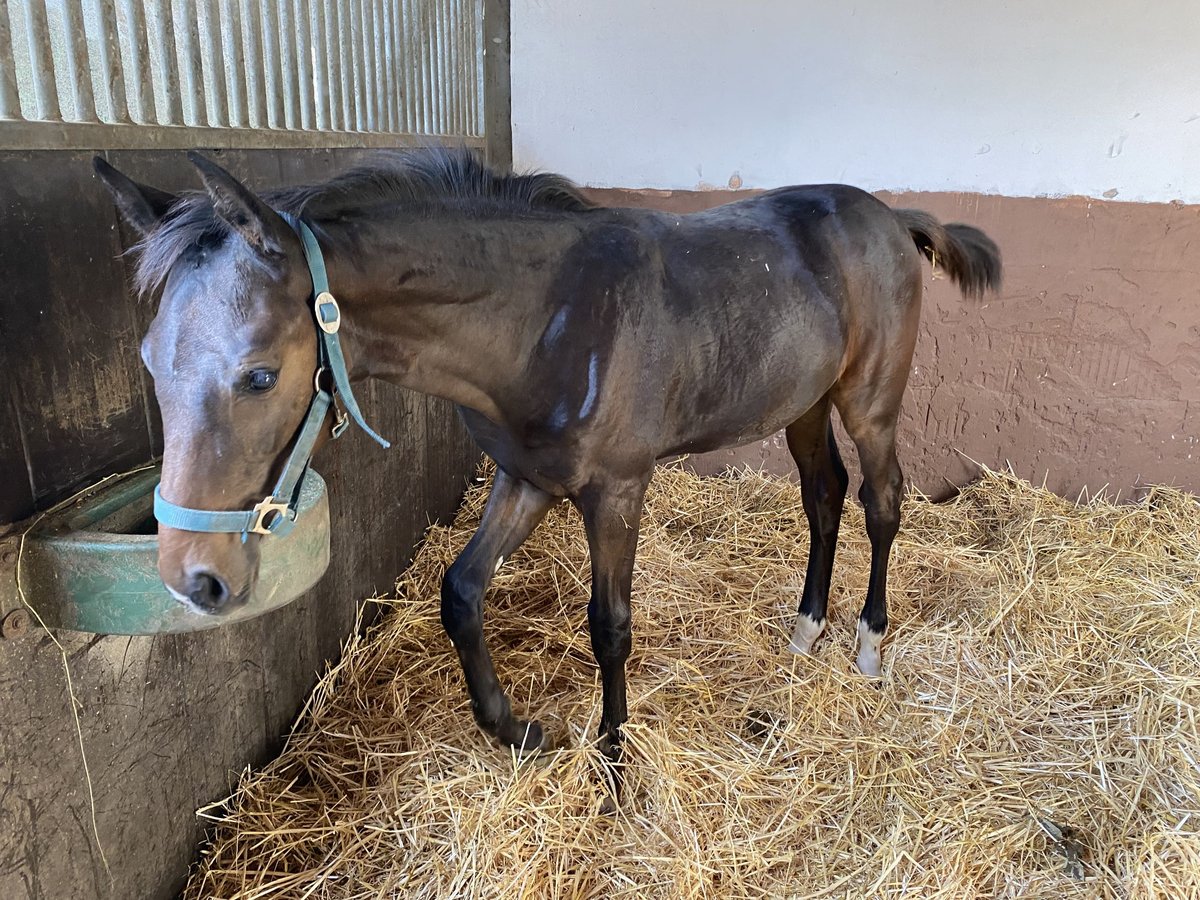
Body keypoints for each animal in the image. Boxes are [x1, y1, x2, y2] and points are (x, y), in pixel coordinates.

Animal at [93, 148, 998, 787]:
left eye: (258, 375)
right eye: (148, 360)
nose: (193, 578)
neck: (548, 318)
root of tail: (891, 214)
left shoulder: (617, 490)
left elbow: (610, 628)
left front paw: (614, 769)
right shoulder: (526, 480)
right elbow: (461, 590)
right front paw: (518, 730)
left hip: (868, 402)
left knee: (882, 501)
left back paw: (868, 643)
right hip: (803, 403)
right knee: (824, 497)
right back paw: (807, 630)